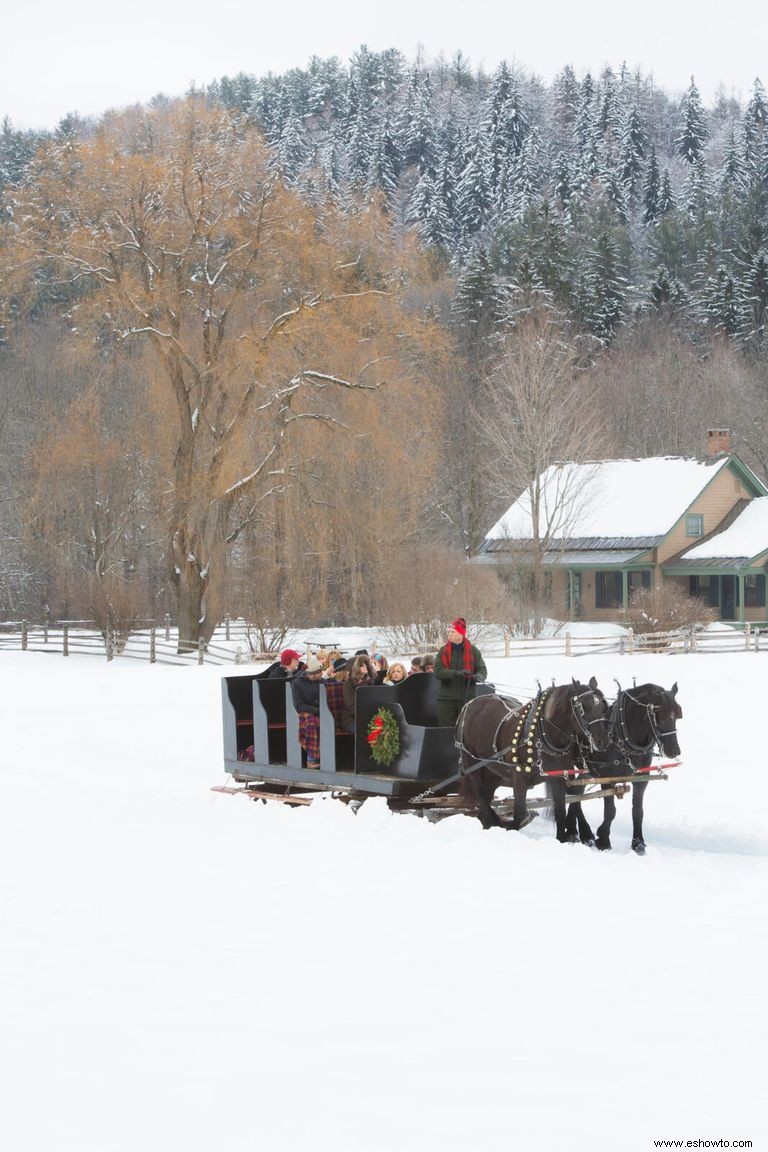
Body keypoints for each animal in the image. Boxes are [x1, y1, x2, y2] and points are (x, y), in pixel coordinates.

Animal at [455, 677, 612, 843]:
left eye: (602, 706)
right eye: (584, 707)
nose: (603, 742)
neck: (542, 734)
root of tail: (471, 703)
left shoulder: (559, 779)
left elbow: (560, 813)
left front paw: (562, 838)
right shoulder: (518, 776)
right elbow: (520, 812)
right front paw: (511, 827)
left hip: (493, 771)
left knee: (486, 794)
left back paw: (488, 821)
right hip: (470, 761)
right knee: (479, 792)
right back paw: (494, 820)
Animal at [564, 681, 686, 857]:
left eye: (677, 714)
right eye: (657, 713)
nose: (674, 750)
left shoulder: (641, 778)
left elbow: (638, 811)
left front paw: (638, 844)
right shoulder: (606, 776)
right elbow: (610, 811)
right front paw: (603, 840)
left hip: (585, 770)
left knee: (575, 792)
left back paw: (575, 831)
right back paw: (582, 833)